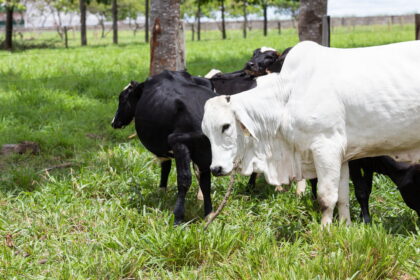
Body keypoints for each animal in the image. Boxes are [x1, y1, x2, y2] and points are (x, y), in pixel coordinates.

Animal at [202, 40, 420, 226]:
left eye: (225, 126)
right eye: (206, 132)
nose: (216, 168)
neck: (288, 95)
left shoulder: (327, 148)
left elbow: (327, 197)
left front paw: (325, 232)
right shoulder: (343, 155)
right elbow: (343, 196)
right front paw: (346, 227)